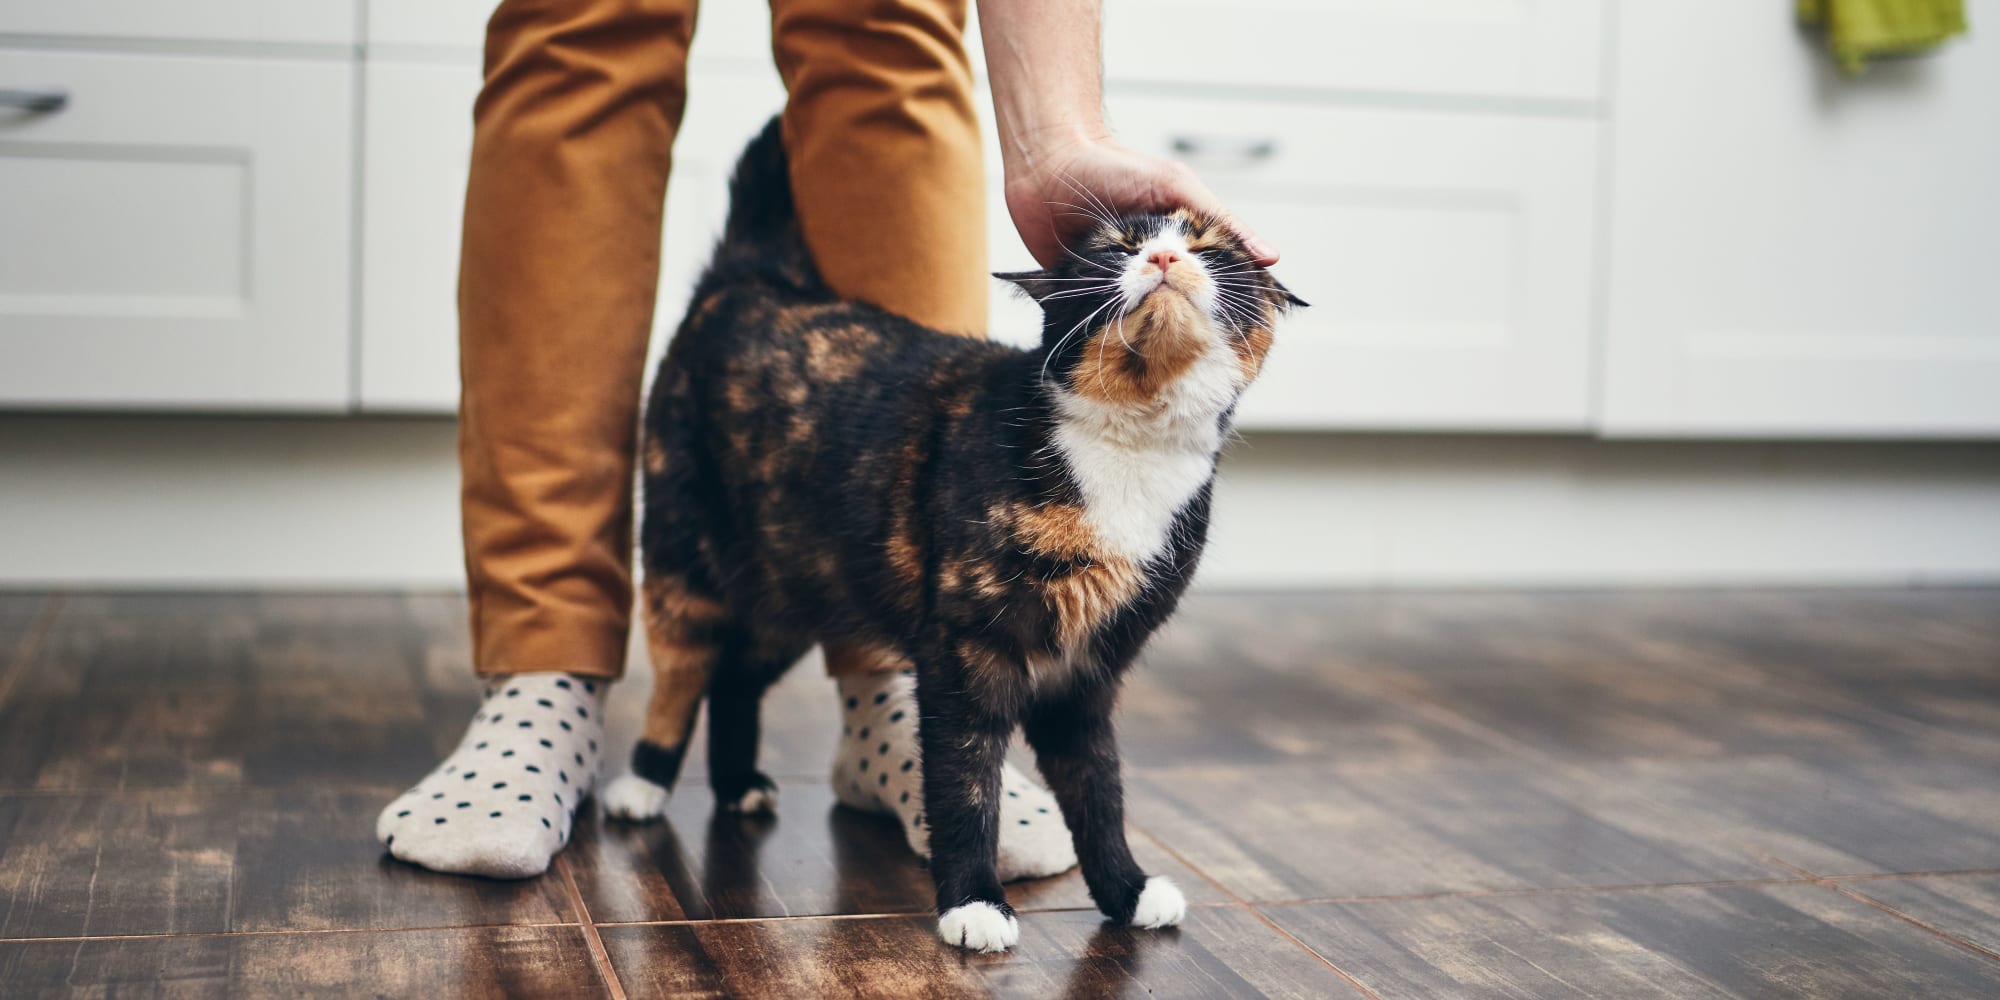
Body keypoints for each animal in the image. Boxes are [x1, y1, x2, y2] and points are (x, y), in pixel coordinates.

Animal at [608, 119, 1304, 952]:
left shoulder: (1087, 673)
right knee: (684, 671)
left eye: (1209, 247)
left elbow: (1099, 790)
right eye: (1116, 247)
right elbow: (966, 783)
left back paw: (739, 784)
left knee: (737, 676)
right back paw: (642, 782)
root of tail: (753, 279)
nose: (1164, 258)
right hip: (686, 560)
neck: (1129, 449)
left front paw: (1127, 890)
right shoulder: (967, 651)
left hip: (796, 585)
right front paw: (973, 902)